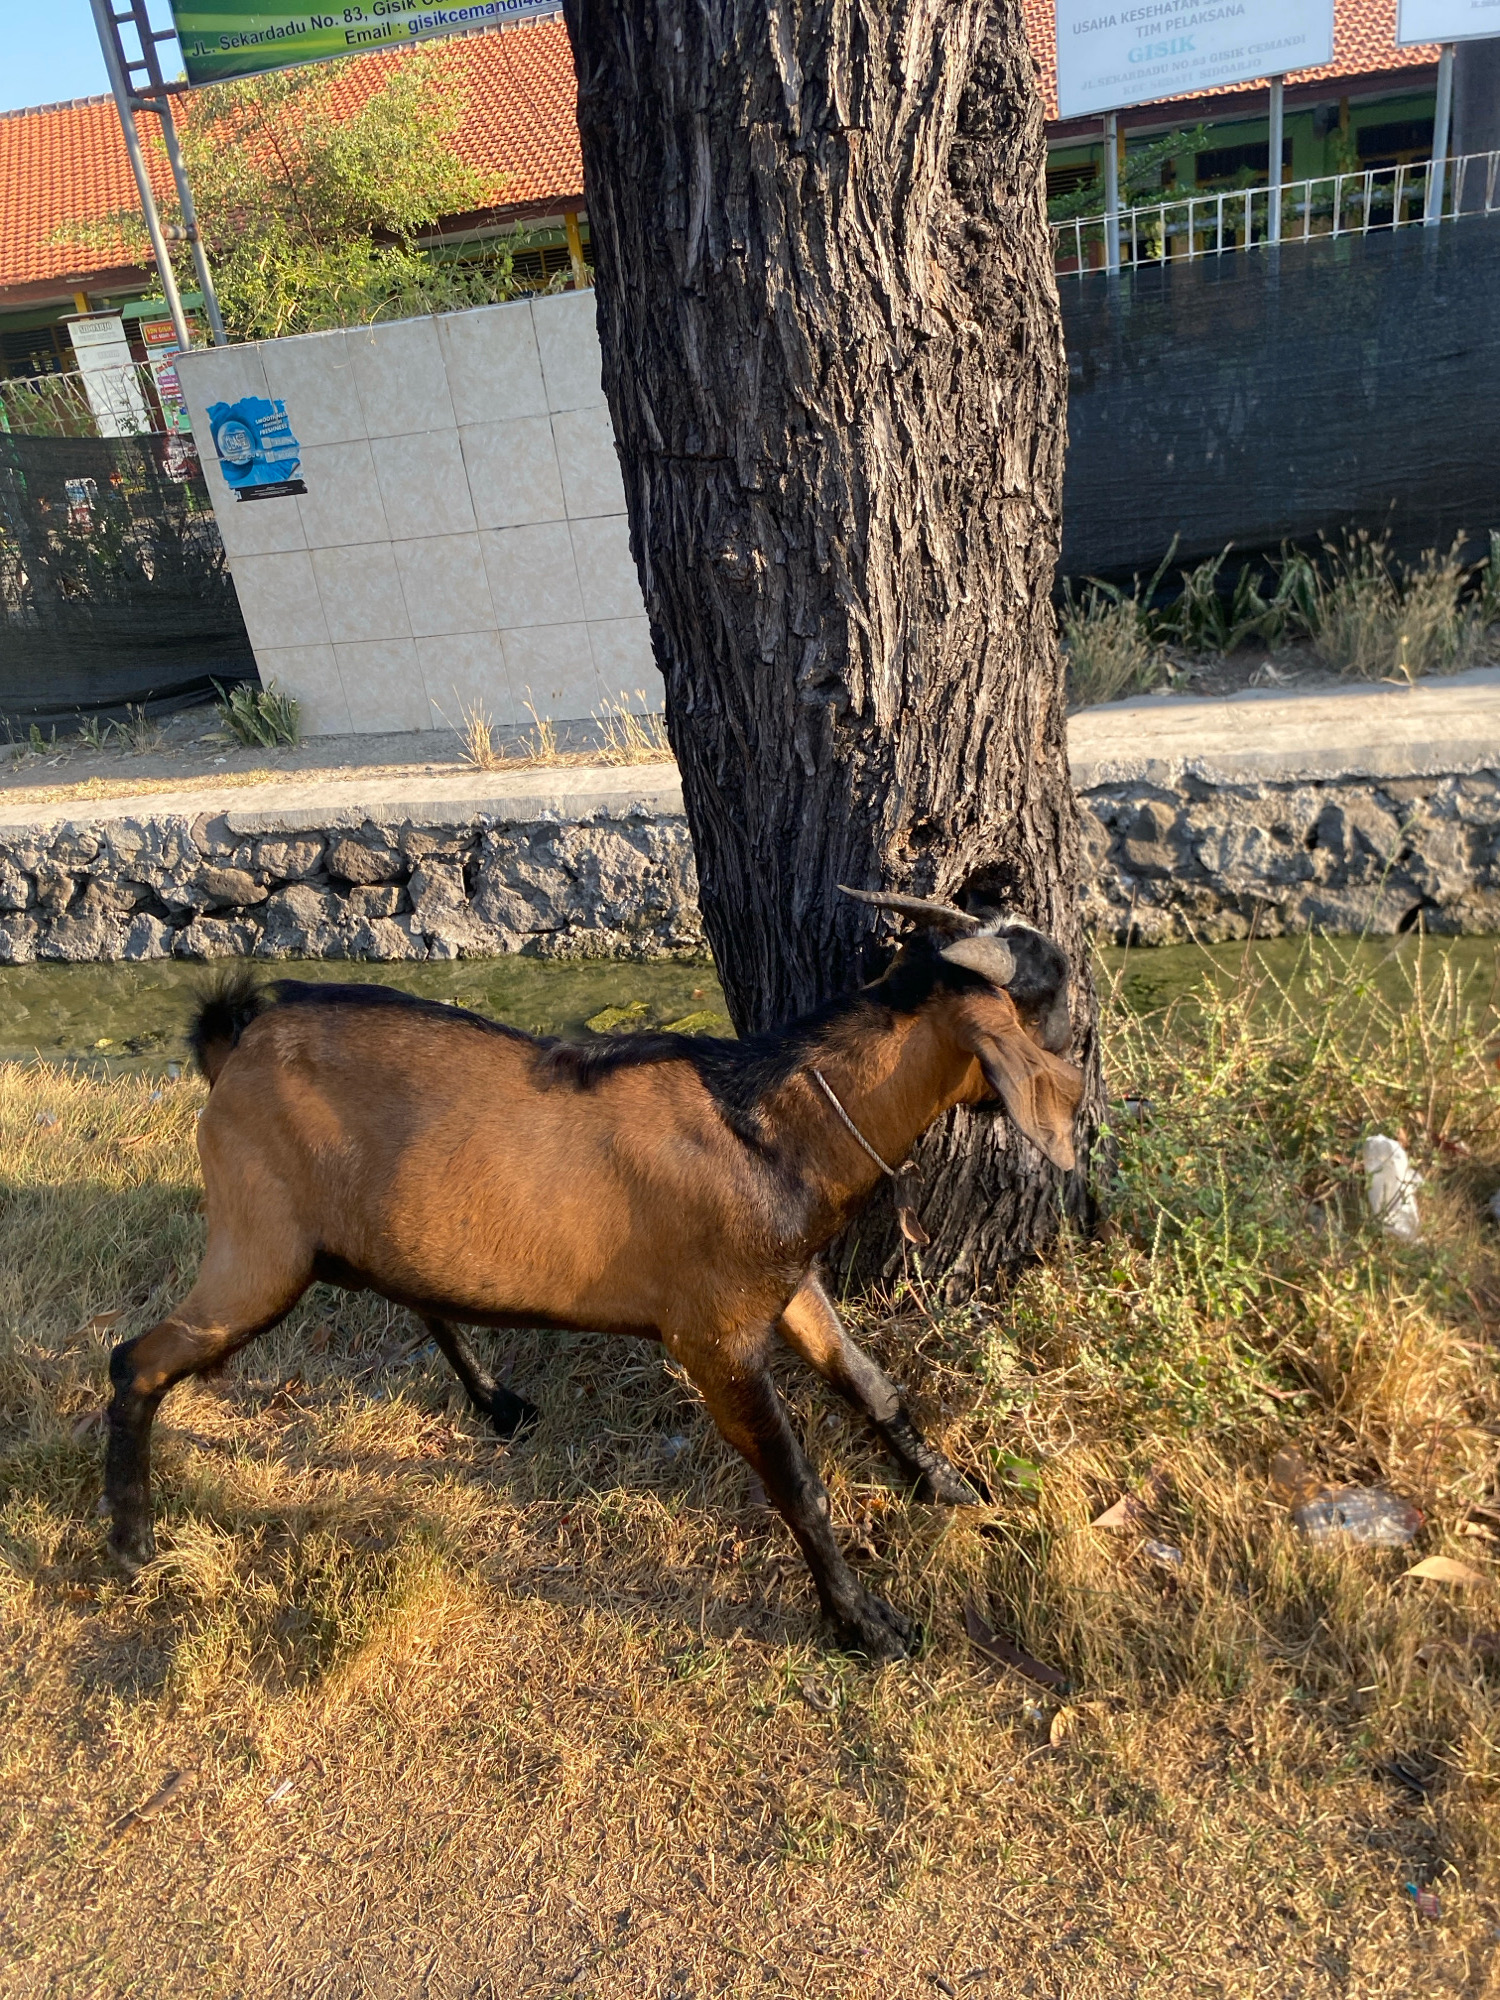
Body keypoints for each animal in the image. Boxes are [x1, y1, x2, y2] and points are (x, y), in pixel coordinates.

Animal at [103, 891, 1083, 1660]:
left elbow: (875, 1386)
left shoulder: (788, 1286)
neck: (770, 1120)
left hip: (353, 1229)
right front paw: (865, 1625)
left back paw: (497, 1403)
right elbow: (796, 1483)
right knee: (136, 1361)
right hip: (259, 1246)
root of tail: (235, 1044)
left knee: (409, 1290)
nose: (1088, 1045)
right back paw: (132, 1539)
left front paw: (948, 1488)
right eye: (1054, 994)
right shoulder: (712, 1335)